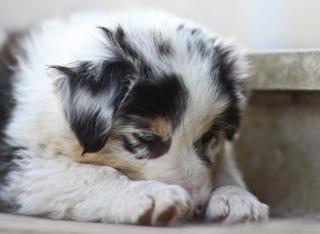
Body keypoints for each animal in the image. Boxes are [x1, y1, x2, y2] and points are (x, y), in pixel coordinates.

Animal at [0, 9, 270, 225]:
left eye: (209, 137)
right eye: (147, 138)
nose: (196, 207)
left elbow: (224, 163)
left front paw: (236, 197)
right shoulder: (17, 161)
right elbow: (90, 174)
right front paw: (151, 195)